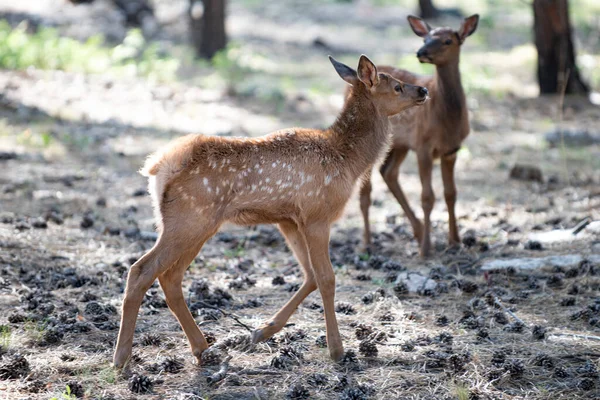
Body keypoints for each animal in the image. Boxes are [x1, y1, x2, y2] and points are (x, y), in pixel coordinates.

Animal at [112, 54, 428, 368]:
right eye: (397, 86)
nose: (423, 90)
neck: (347, 160)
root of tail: (158, 167)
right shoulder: (317, 215)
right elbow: (327, 278)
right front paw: (337, 350)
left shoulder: (288, 220)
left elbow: (310, 275)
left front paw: (260, 332)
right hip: (189, 219)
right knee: (142, 270)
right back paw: (122, 358)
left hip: (191, 225)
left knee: (170, 277)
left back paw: (202, 348)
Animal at [358, 14, 480, 256]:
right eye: (425, 38)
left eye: (448, 41)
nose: (421, 52)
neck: (446, 120)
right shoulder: (423, 144)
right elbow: (427, 197)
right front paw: (426, 250)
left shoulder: (451, 149)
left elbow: (451, 194)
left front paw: (455, 242)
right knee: (366, 188)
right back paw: (367, 243)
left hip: (400, 144)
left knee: (388, 173)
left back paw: (418, 231)